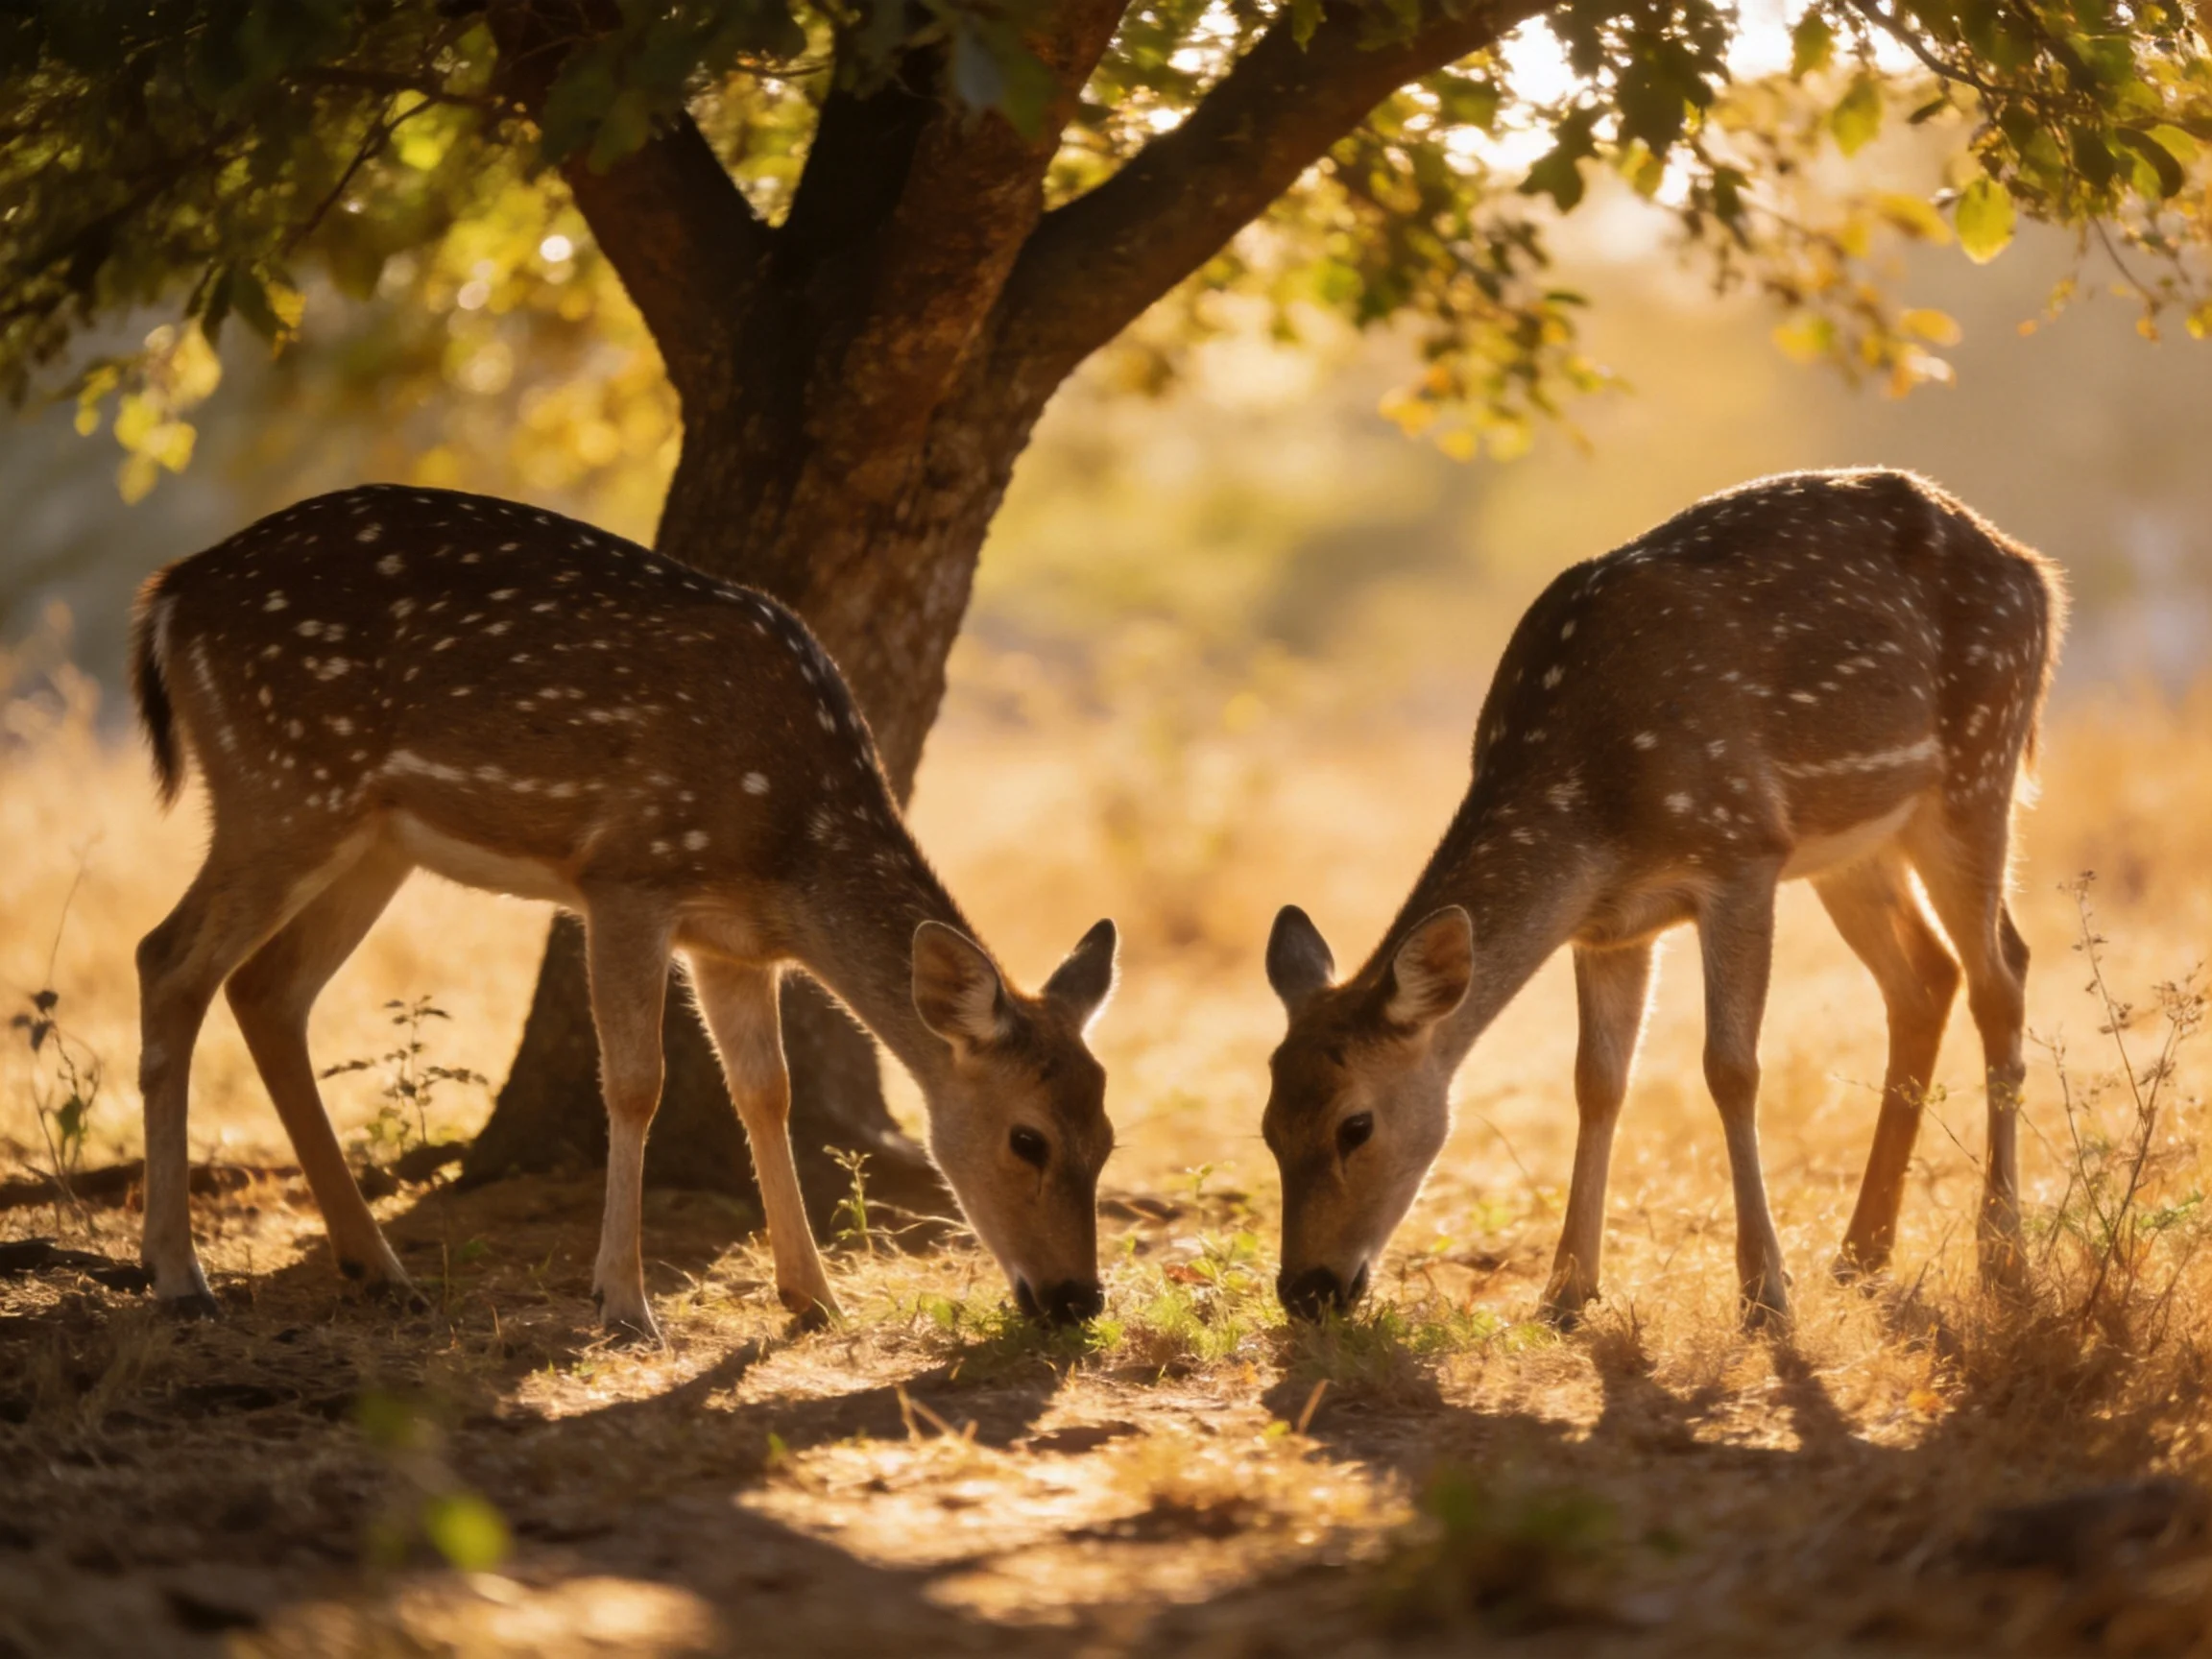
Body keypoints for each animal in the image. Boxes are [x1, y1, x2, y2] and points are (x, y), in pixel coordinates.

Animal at [127, 483, 1120, 1342]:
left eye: (1109, 1138)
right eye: (1027, 1139)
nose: (1076, 1298)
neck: (789, 846)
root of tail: (168, 595)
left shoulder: (734, 943)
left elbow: (766, 1090)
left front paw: (813, 1298)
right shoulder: (627, 876)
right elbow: (639, 1082)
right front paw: (625, 1303)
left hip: (370, 837)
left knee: (267, 989)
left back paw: (378, 1270)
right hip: (284, 781)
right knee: (167, 958)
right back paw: (180, 1279)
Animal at [1260, 469, 2065, 1329]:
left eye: (1356, 1124)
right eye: (1268, 1127)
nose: (1308, 1290)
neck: (1596, 810)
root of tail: (2038, 575)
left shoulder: (1741, 851)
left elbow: (1731, 1067)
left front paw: (1764, 1294)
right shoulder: (1609, 925)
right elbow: (1597, 1080)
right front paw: (1566, 1290)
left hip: (1977, 769)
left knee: (2001, 973)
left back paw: (2000, 1253)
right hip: (1855, 844)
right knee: (1925, 977)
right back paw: (1861, 1253)